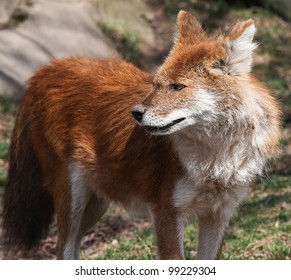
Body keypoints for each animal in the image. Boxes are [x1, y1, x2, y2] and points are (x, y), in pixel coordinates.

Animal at [1, 12, 280, 260]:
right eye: (156, 84)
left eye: (177, 87)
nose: (136, 113)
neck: (216, 156)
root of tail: (48, 68)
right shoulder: (167, 214)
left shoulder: (218, 215)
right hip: (72, 199)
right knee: (63, 250)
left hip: (95, 205)